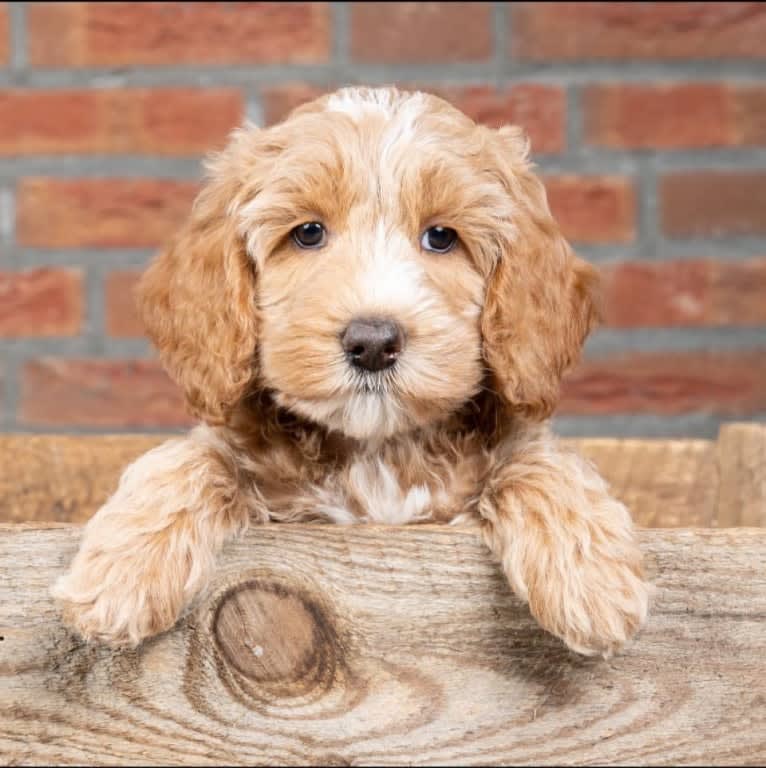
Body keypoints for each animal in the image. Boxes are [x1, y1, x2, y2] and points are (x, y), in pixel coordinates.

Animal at [54, 87, 652, 656]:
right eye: (308, 233)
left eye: (441, 237)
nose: (372, 343)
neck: (376, 452)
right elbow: (196, 456)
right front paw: (120, 572)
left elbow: (538, 459)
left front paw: (592, 580)